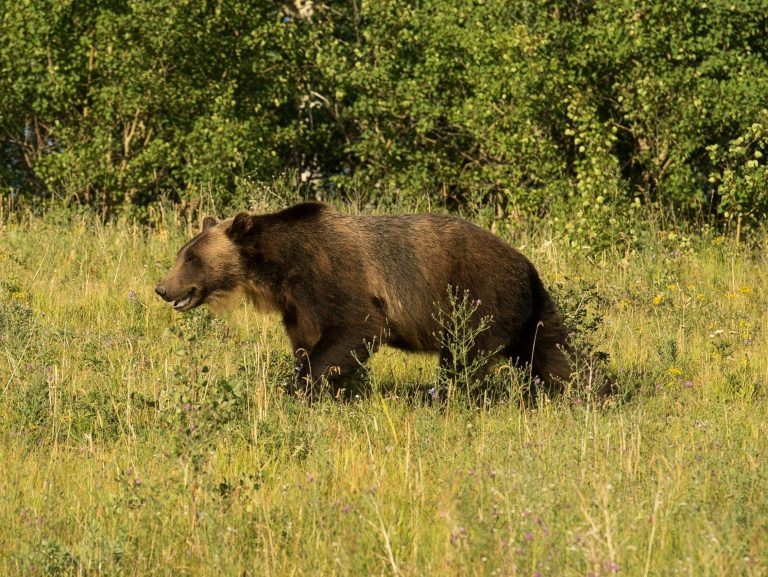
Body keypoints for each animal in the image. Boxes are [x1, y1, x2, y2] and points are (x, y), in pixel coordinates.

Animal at [156, 202, 572, 396]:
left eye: (192, 258)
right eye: (182, 252)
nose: (162, 288)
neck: (283, 267)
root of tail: (527, 264)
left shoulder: (334, 276)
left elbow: (356, 328)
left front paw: (303, 387)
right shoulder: (299, 306)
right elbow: (306, 342)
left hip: (480, 297)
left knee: (465, 356)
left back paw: (444, 395)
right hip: (529, 308)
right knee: (551, 351)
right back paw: (575, 390)